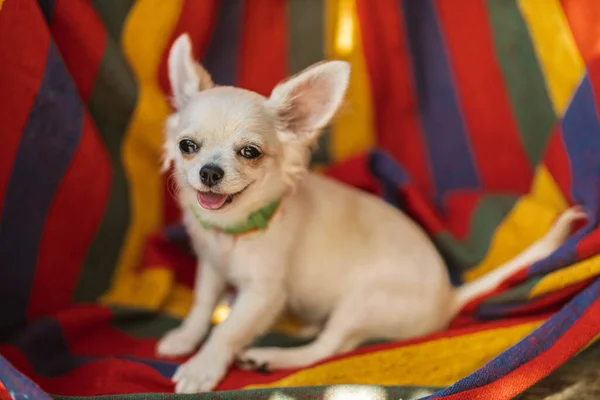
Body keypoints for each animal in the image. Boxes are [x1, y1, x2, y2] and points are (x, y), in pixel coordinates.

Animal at [156, 32, 584, 394]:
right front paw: (184, 338)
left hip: (362, 303)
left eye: (250, 152)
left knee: (329, 348)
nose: (210, 172)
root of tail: (447, 298)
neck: (234, 231)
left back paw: (272, 356)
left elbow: (227, 330)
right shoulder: (211, 266)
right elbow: (202, 307)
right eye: (187, 146)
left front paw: (202, 367)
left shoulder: (263, 292)